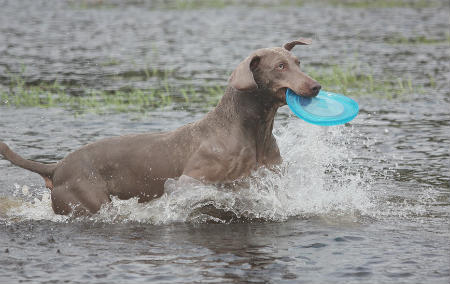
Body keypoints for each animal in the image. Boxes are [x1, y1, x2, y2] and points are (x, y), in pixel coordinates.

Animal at [1, 37, 322, 215]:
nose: (316, 86)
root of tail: (56, 167)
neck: (253, 129)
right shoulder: (193, 180)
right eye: (280, 66)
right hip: (87, 201)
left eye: (298, 62)